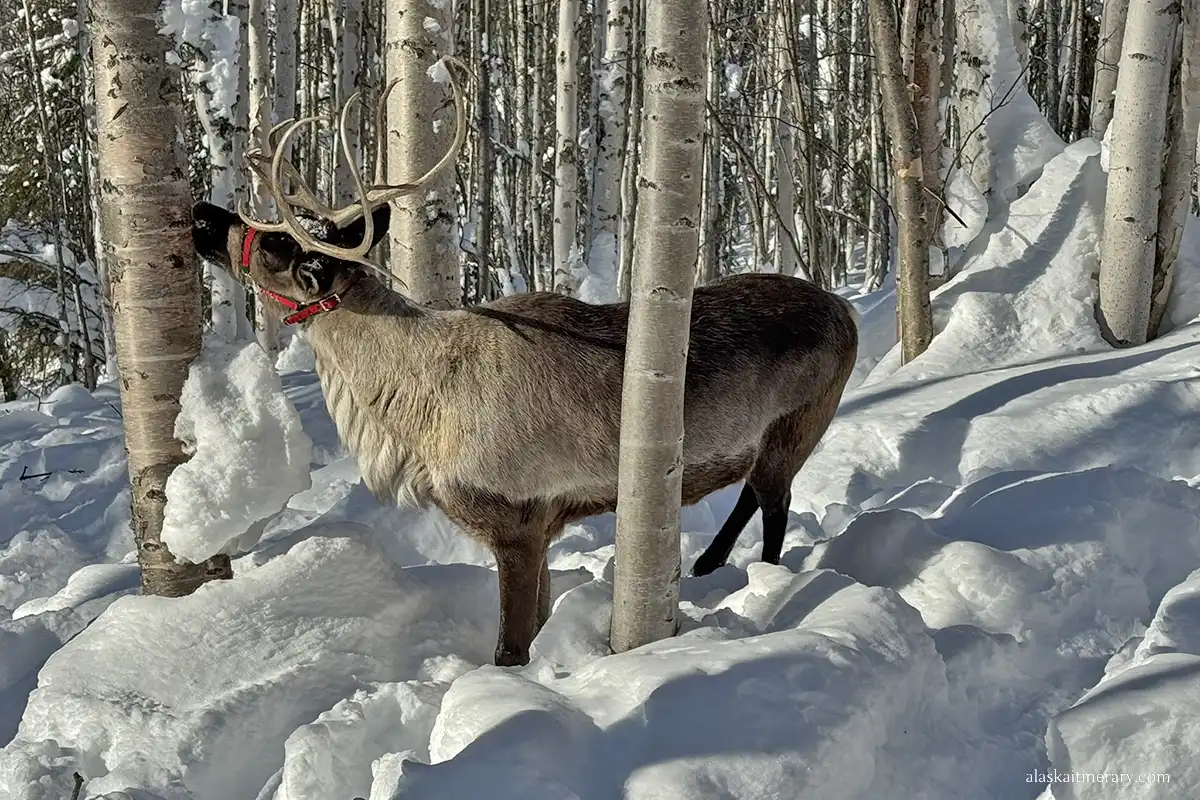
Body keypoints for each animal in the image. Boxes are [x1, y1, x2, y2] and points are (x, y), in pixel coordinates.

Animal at [190, 59, 859, 667]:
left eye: (275, 243)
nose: (202, 215)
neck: (409, 410)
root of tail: (846, 312)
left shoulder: (515, 522)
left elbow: (510, 648)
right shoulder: (543, 524)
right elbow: (535, 624)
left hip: (799, 424)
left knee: (775, 506)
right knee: (750, 494)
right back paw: (704, 565)